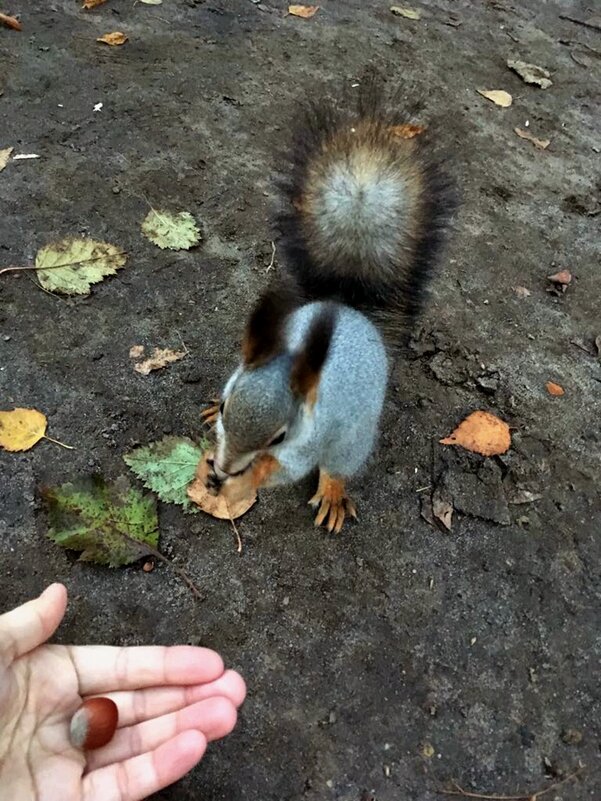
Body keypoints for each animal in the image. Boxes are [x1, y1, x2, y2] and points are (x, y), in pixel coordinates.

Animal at [202, 75, 454, 536]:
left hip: (353, 438)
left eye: (280, 436)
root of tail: (351, 311)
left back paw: (334, 490)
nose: (224, 468)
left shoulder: (307, 444)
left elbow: (285, 470)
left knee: (338, 465)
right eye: (229, 406)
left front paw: (248, 479)